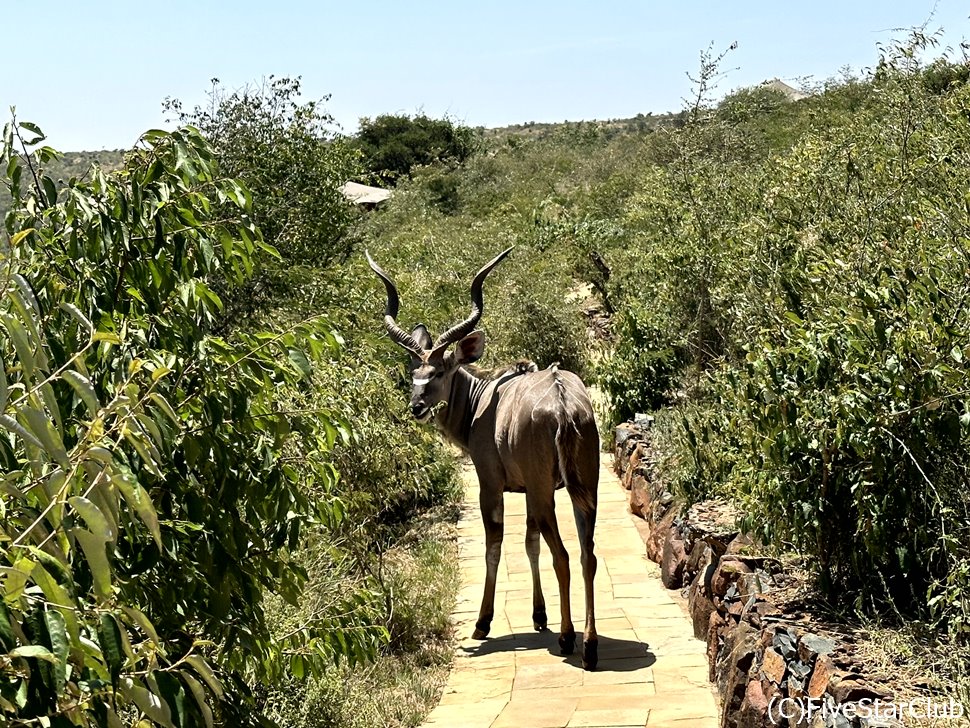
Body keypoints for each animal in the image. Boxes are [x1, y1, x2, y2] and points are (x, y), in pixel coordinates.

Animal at [366, 247, 596, 668]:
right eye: (413, 373)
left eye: (439, 371)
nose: (417, 407)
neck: (483, 400)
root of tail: (563, 405)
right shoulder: (528, 491)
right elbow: (530, 543)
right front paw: (538, 616)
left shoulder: (491, 484)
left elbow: (494, 547)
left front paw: (482, 623)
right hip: (583, 486)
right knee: (587, 555)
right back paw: (589, 645)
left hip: (548, 493)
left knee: (564, 556)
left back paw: (569, 640)